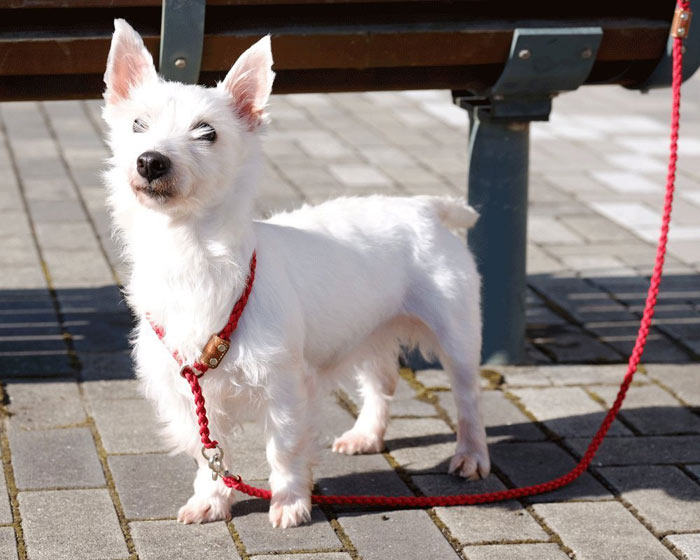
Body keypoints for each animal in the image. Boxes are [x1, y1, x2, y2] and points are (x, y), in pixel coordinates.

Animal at [104, 19, 490, 528]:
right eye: (137, 124)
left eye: (207, 133)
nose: (151, 160)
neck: (191, 255)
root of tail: (424, 206)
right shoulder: (189, 394)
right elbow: (209, 453)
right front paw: (211, 499)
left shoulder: (284, 387)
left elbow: (283, 451)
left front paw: (289, 503)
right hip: (367, 328)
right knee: (380, 381)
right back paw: (366, 435)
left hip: (456, 333)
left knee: (468, 397)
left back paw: (471, 455)